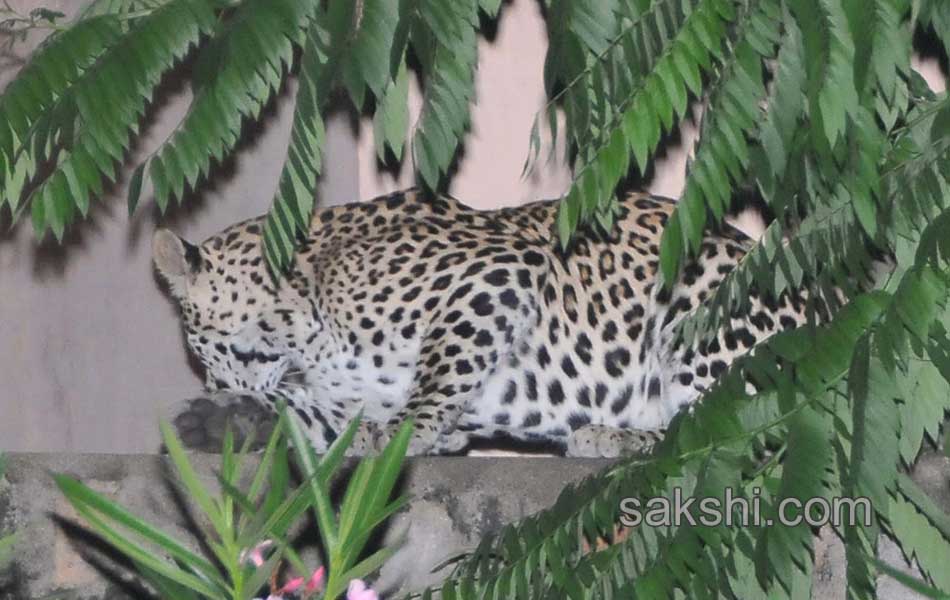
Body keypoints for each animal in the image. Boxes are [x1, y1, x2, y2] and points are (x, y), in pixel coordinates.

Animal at [154, 190, 812, 458]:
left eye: (208, 353)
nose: (213, 386)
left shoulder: (499, 270)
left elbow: (439, 371)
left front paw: (409, 433)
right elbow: (315, 417)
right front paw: (219, 422)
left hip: (703, 304)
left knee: (743, 423)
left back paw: (612, 437)